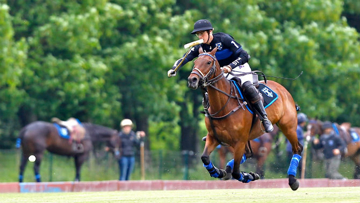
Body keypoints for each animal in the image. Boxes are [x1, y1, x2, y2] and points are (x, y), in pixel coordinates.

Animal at [188, 47, 304, 190]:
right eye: (195, 62)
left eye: (209, 62)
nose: (192, 80)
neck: (223, 105)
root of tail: (283, 89)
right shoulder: (213, 137)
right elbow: (205, 157)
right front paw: (219, 172)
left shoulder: (240, 141)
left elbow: (238, 172)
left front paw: (250, 176)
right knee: (246, 154)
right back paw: (226, 170)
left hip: (288, 126)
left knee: (297, 148)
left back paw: (293, 180)